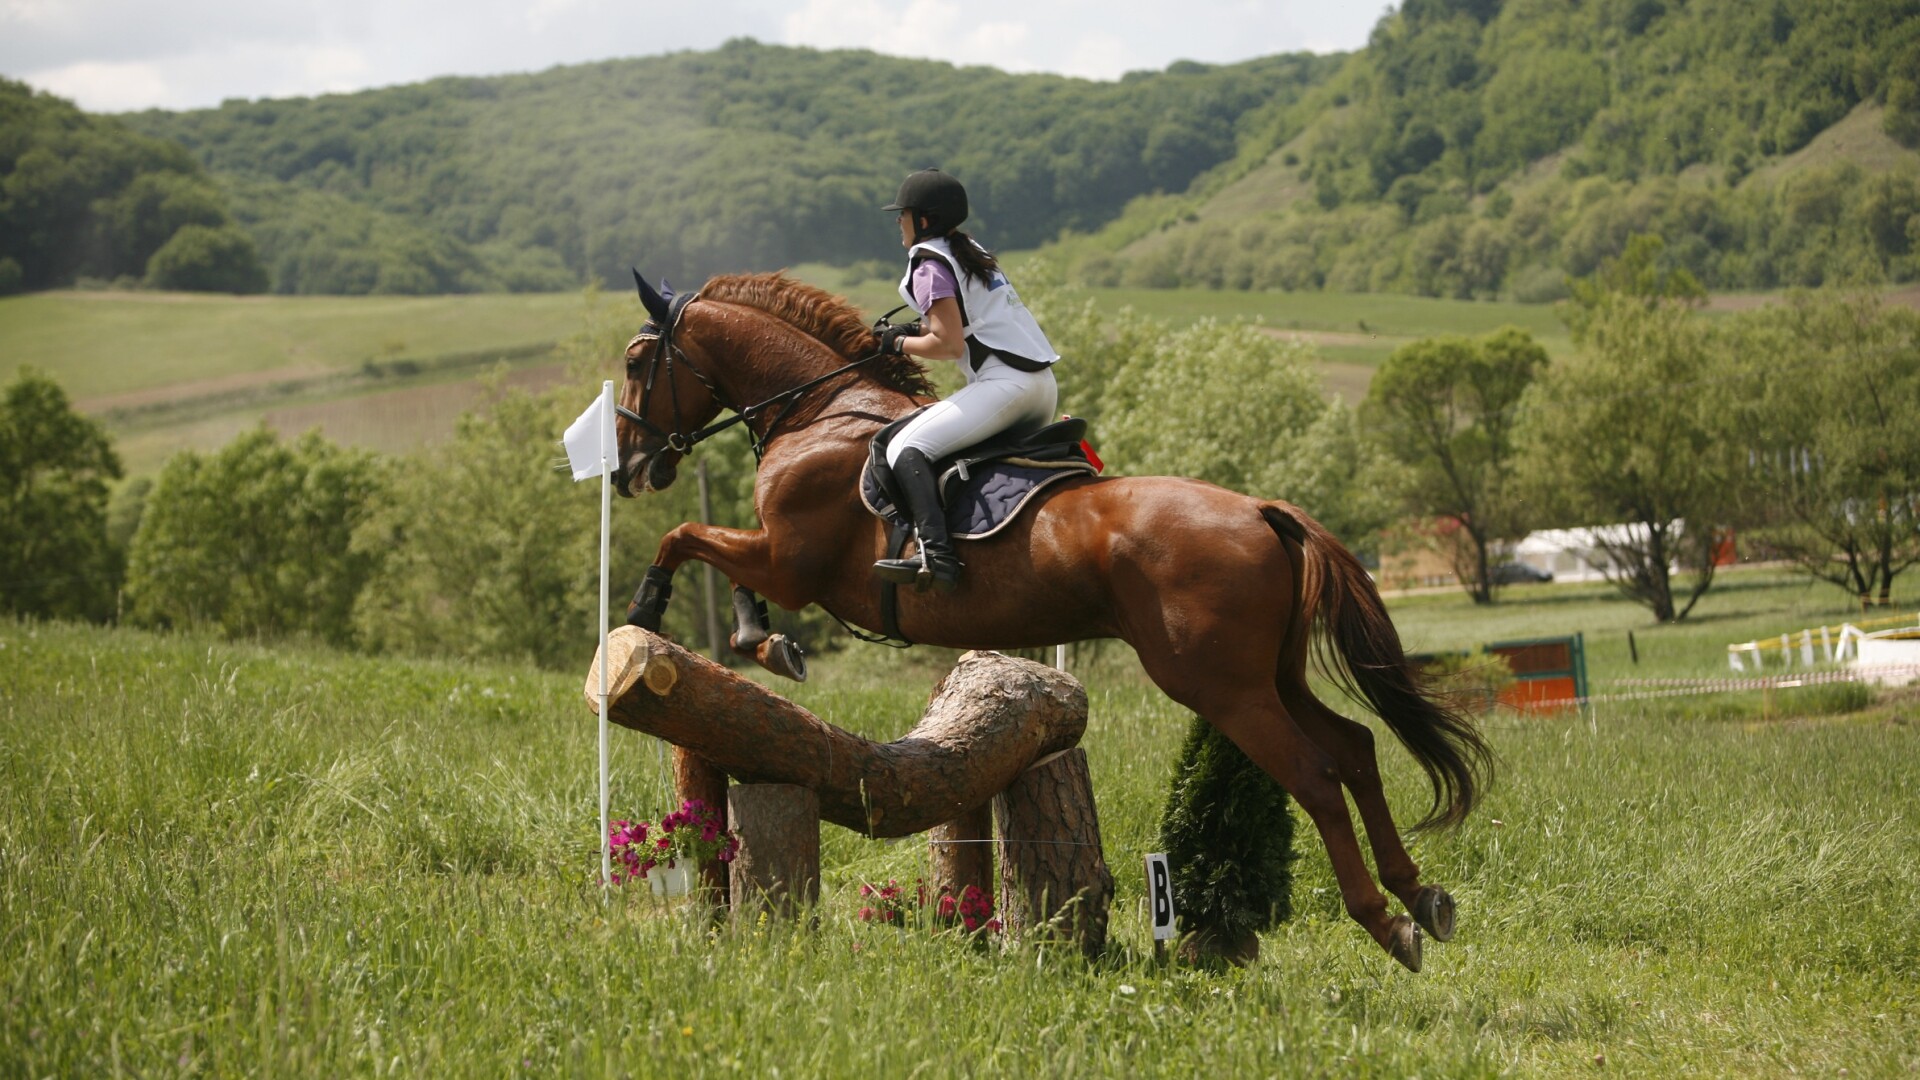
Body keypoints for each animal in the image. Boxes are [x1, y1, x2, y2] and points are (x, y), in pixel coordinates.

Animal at [610, 269, 1482, 968]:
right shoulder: (778, 559)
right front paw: (764, 642)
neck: (820, 409)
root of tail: (1262, 510)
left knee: (1317, 775)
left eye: (634, 363)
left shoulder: (790, 560)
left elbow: (686, 537)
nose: (627, 468)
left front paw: (662, 614)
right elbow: (709, 552)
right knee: (1358, 748)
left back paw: (1387, 924)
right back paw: (1421, 896)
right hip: (1271, 674)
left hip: (1222, 686)